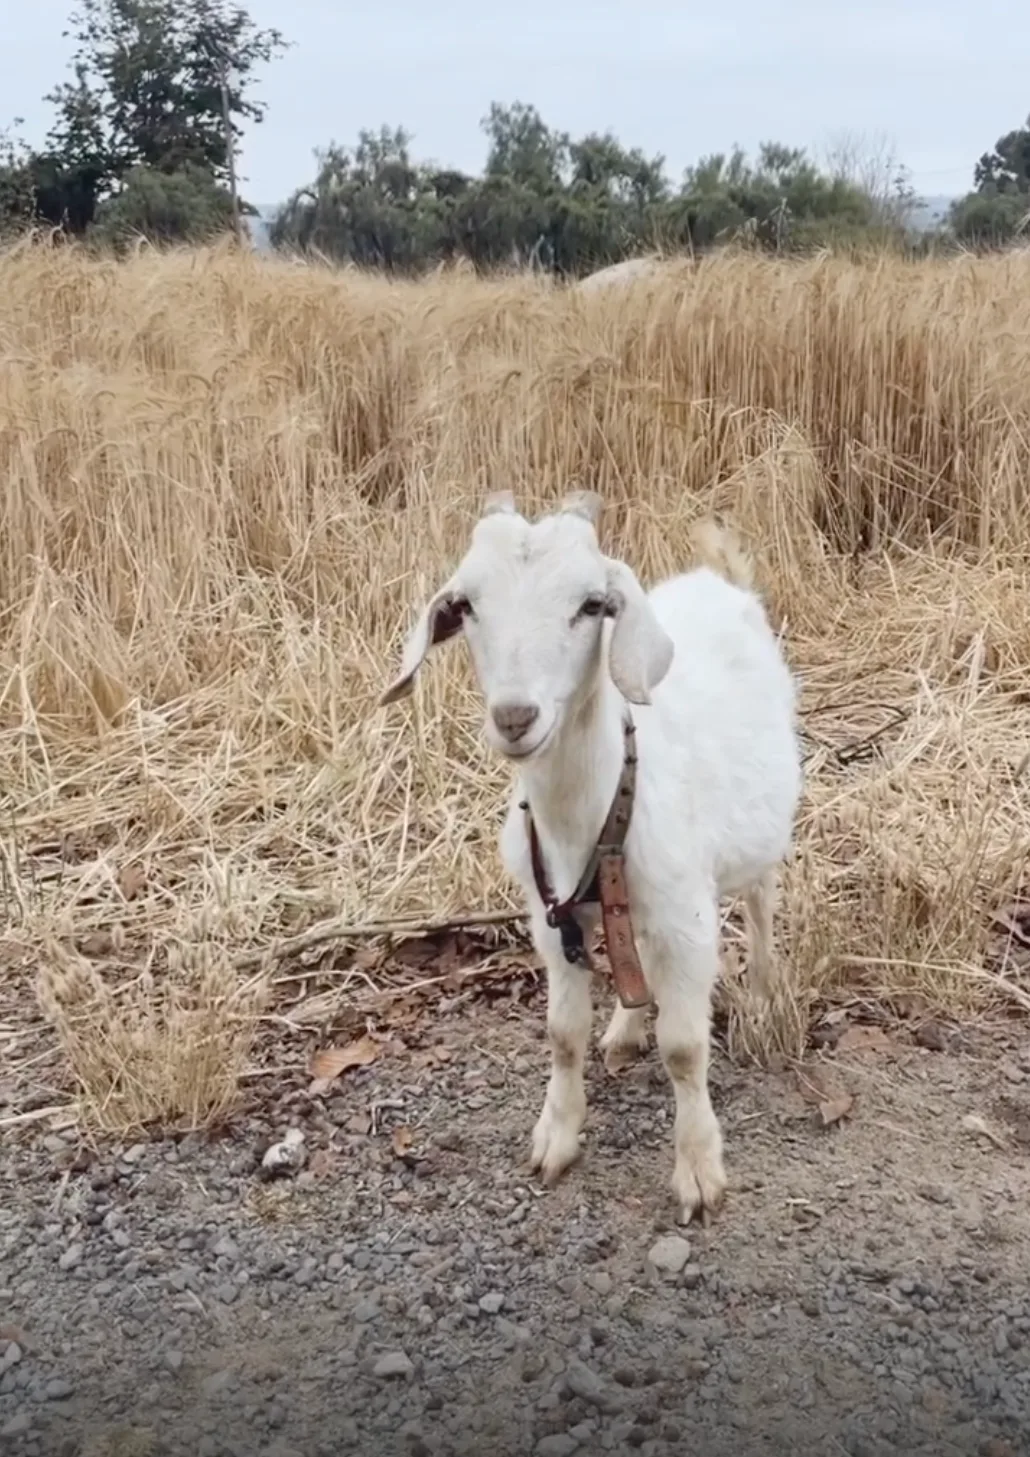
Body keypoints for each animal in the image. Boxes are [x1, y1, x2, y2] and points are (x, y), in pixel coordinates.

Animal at [380, 490, 802, 1222]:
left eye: (590, 604)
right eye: (465, 606)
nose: (515, 717)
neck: (596, 808)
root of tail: (721, 582)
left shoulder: (686, 921)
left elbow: (685, 1047)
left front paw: (698, 1170)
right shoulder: (553, 919)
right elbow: (562, 1031)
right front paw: (556, 1135)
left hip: (762, 839)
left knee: (761, 907)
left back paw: (764, 997)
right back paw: (627, 1028)